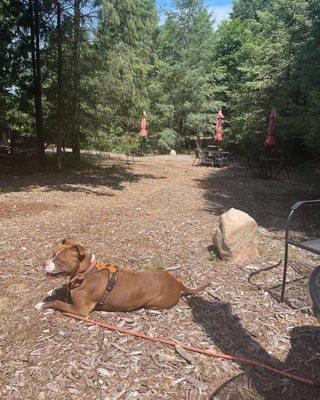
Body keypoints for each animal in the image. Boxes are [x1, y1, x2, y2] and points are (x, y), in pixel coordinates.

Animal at [35, 239, 210, 318]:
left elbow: (57, 303)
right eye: (52, 254)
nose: (43, 263)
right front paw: (51, 291)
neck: (86, 273)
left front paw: (42, 305)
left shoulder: (80, 310)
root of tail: (177, 282)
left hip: (154, 302)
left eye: (60, 260)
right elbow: (62, 289)